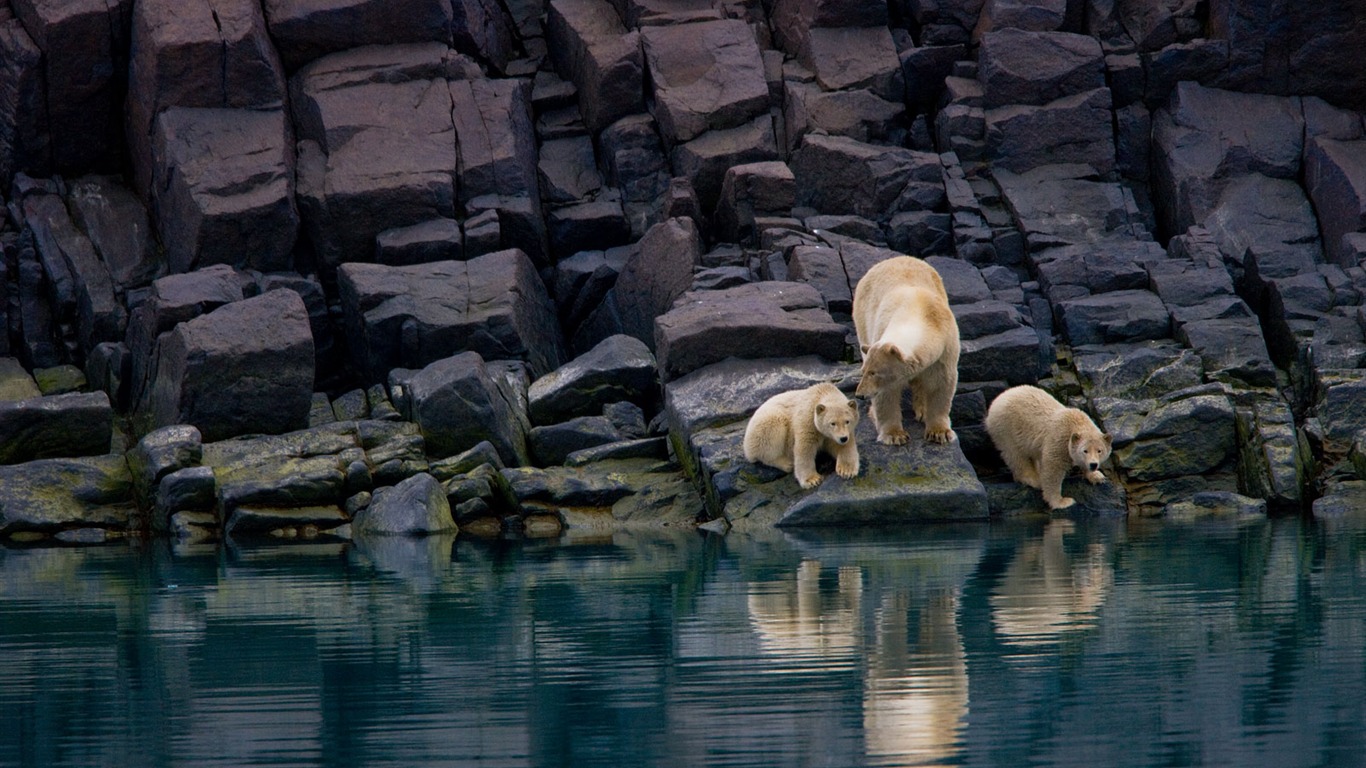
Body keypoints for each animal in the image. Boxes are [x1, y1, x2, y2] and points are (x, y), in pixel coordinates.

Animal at [852, 254, 961, 442]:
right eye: (864, 371)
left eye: (874, 372)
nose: (860, 394)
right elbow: (886, 393)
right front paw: (894, 435)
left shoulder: (945, 348)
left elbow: (941, 383)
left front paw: (939, 432)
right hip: (862, 317)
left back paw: (922, 410)